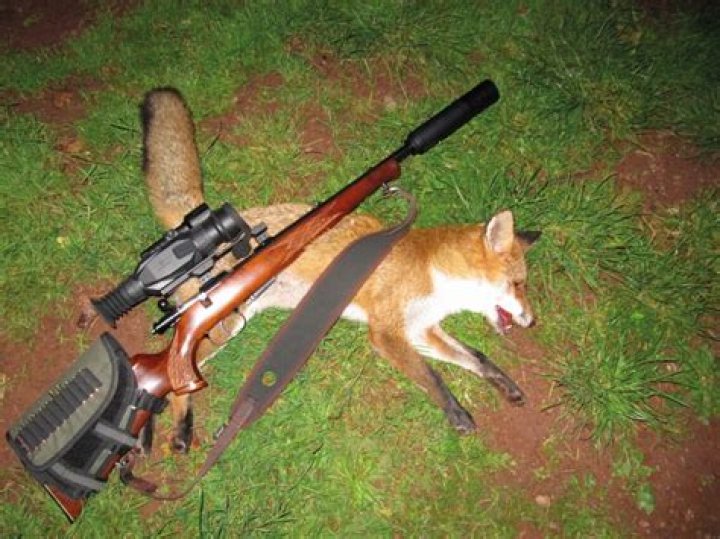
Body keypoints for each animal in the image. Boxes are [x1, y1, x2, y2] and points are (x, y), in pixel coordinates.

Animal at [139, 88, 540, 453]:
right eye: (519, 284)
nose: (533, 321)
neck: (435, 276)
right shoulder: (387, 333)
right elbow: (434, 377)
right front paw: (457, 414)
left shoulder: (421, 330)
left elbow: (477, 358)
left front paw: (505, 385)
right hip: (225, 328)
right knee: (166, 379)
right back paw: (176, 433)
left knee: (153, 381)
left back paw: (141, 437)